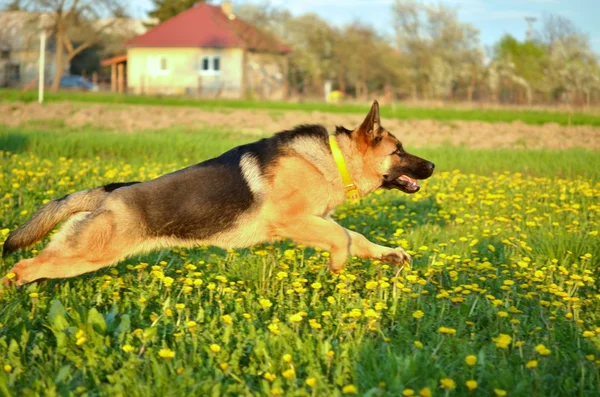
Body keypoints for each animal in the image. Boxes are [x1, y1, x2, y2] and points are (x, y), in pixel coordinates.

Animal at [0, 99, 432, 284]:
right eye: (399, 152)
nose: (432, 167)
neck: (333, 157)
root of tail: (109, 192)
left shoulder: (315, 221)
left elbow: (354, 236)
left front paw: (390, 255)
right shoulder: (293, 221)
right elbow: (343, 238)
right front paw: (337, 266)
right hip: (87, 254)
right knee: (23, 268)